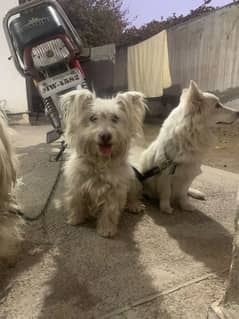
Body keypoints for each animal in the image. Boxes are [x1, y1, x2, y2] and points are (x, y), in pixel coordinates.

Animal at [61, 89, 146, 239]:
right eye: (93, 118)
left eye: (115, 118)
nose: (105, 136)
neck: (100, 161)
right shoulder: (77, 184)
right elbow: (76, 202)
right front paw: (76, 219)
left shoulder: (114, 191)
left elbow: (109, 212)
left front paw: (106, 230)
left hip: (133, 181)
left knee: (132, 196)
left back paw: (134, 205)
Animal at [140, 80, 239, 215]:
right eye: (217, 106)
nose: (238, 113)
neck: (190, 134)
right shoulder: (166, 173)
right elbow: (166, 193)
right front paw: (166, 208)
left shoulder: (190, 172)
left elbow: (183, 193)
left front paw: (185, 205)